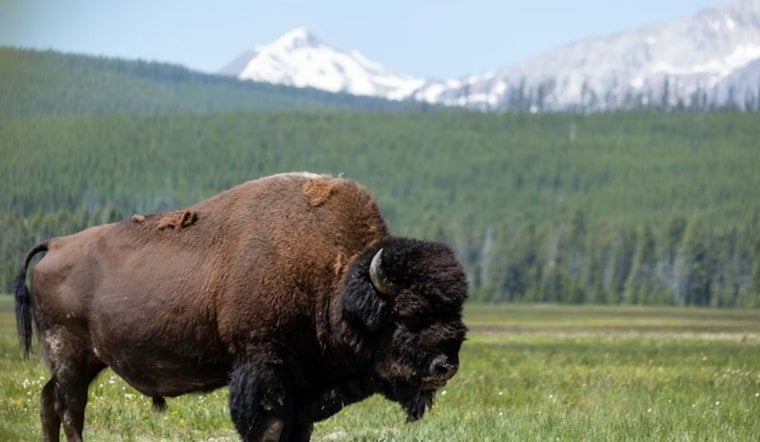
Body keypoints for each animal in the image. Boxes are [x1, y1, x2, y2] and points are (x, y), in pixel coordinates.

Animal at [15, 172, 468, 441]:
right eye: (408, 314)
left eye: (456, 313)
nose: (444, 366)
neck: (334, 281)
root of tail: (56, 245)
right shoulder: (262, 364)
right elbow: (268, 426)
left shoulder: (305, 386)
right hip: (70, 354)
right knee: (70, 408)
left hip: (85, 360)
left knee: (49, 401)